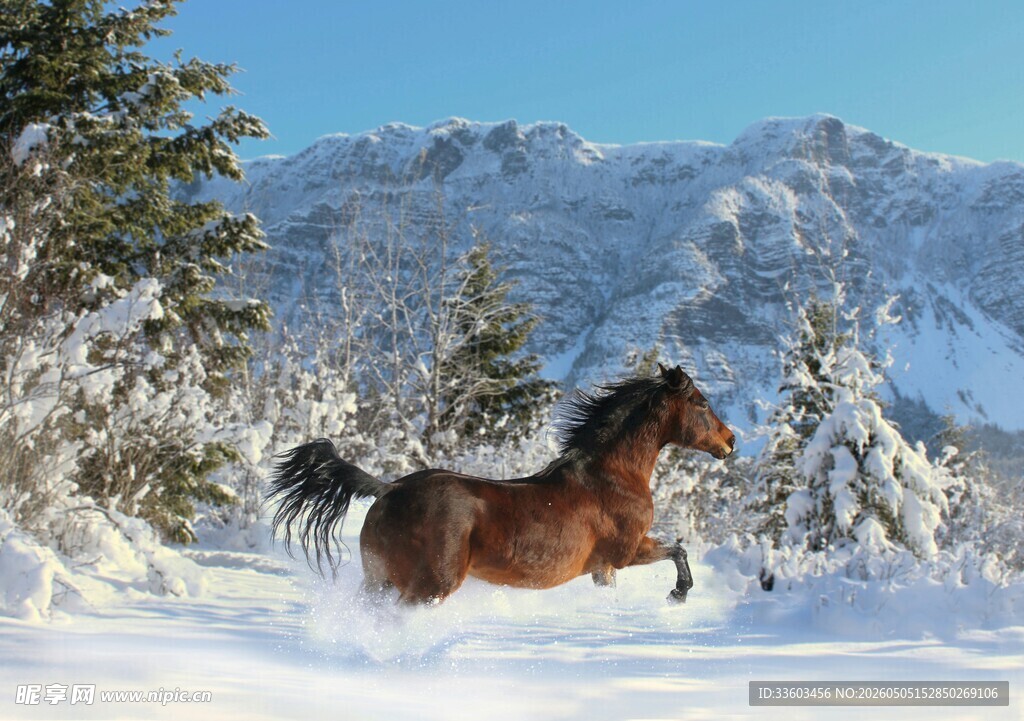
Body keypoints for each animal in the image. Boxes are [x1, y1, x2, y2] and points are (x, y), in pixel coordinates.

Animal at [266, 363, 736, 605]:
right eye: (701, 402)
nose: (730, 440)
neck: (612, 476)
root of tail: (389, 490)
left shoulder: (603, 569)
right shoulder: (625, 551)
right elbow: (678, 549)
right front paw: (679, 593)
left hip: (378, 580)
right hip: (430, 586)